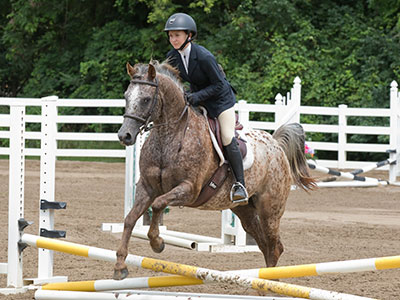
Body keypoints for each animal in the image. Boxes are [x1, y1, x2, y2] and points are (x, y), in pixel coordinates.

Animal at [113, 59, 316, 280]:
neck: (170, 136)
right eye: (126, 96)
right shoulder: (146, 187)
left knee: (274, 247)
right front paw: (120, 266)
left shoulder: (189, 189)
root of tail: (276, 145)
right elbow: (130, 219)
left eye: (146, 99)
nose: (125, 136)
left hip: (270, 210)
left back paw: (270, 282)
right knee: (264, 245)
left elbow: (158, 204)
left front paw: (157, 243)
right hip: (245, 210)